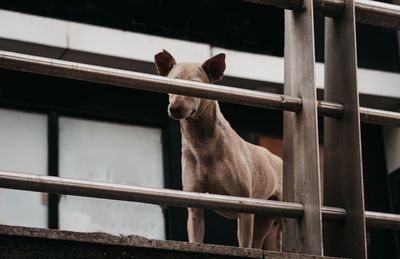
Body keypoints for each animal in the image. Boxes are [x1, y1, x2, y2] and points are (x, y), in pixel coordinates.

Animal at [155, 49, 282, 251]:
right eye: (173, 83)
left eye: (195, 84)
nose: (175, 108)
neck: (201, 142)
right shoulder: (195, 206)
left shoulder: (244, 208)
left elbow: (243, 245)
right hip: (264, 218)